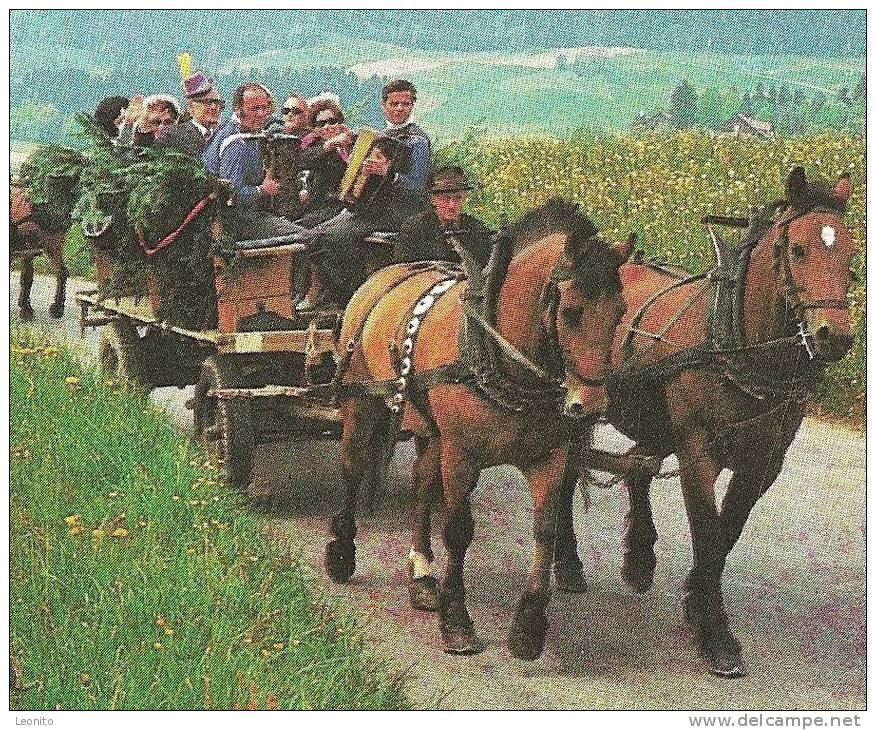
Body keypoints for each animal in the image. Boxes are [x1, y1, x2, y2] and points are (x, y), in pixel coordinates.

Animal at [326, 200, 632, 660]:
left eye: (620, 312)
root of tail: (382, 274)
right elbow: (457, 530)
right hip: (362, 402)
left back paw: (421, 575)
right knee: (353, 466)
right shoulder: (462, 454)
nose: (590, 405)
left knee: (422, 486)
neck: (500, 357)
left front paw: (529, 626)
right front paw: (456, 620)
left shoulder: (549, 457)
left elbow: (545, 530)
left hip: (430, 428)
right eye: (571, 312)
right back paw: (342, 552)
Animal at [556, 166, 856, 676]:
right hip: (580, 405)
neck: (737, 346)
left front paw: (698, 604)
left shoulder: (762, 463)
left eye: (852, 251)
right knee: (568, 470)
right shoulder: (697, 451)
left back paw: (639, 557)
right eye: (797, 249)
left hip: (655, 422)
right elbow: (707, 530)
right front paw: (716, 634)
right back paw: (569, 564)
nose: (833, 337)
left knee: (638, 467)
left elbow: (725, 535)